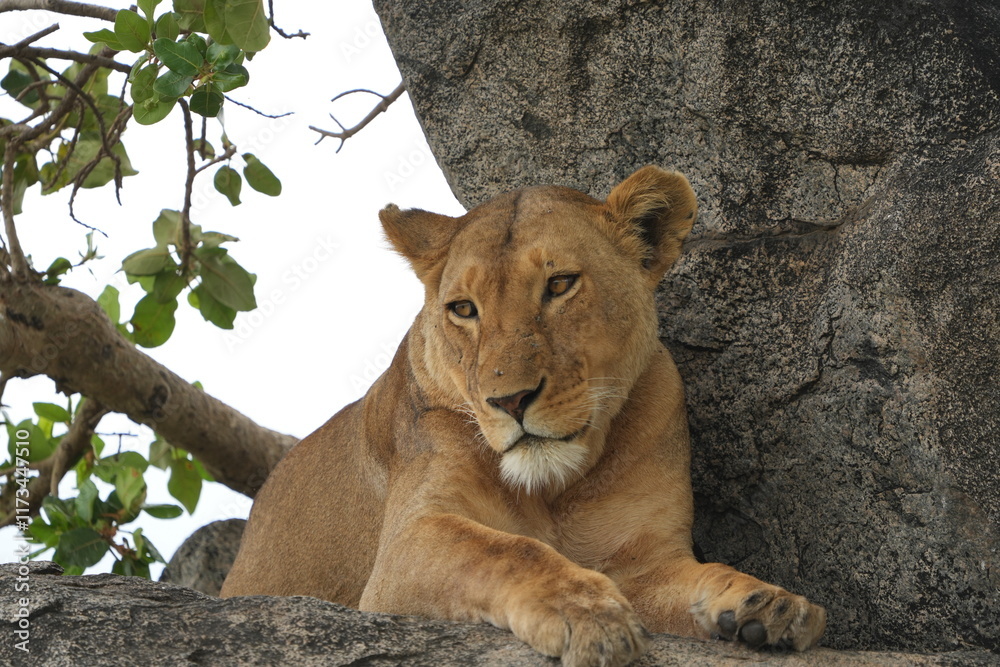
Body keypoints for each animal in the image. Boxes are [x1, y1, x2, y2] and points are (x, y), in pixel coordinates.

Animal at [221, 166, 826, 666]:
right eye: (463, 309)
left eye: (559, 284)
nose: (509, 401)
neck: (556, 489)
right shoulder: (404, 546)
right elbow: (507, 550)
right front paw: (586, 613)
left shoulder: (642, 562)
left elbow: (702, 576)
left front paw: (768, 604)